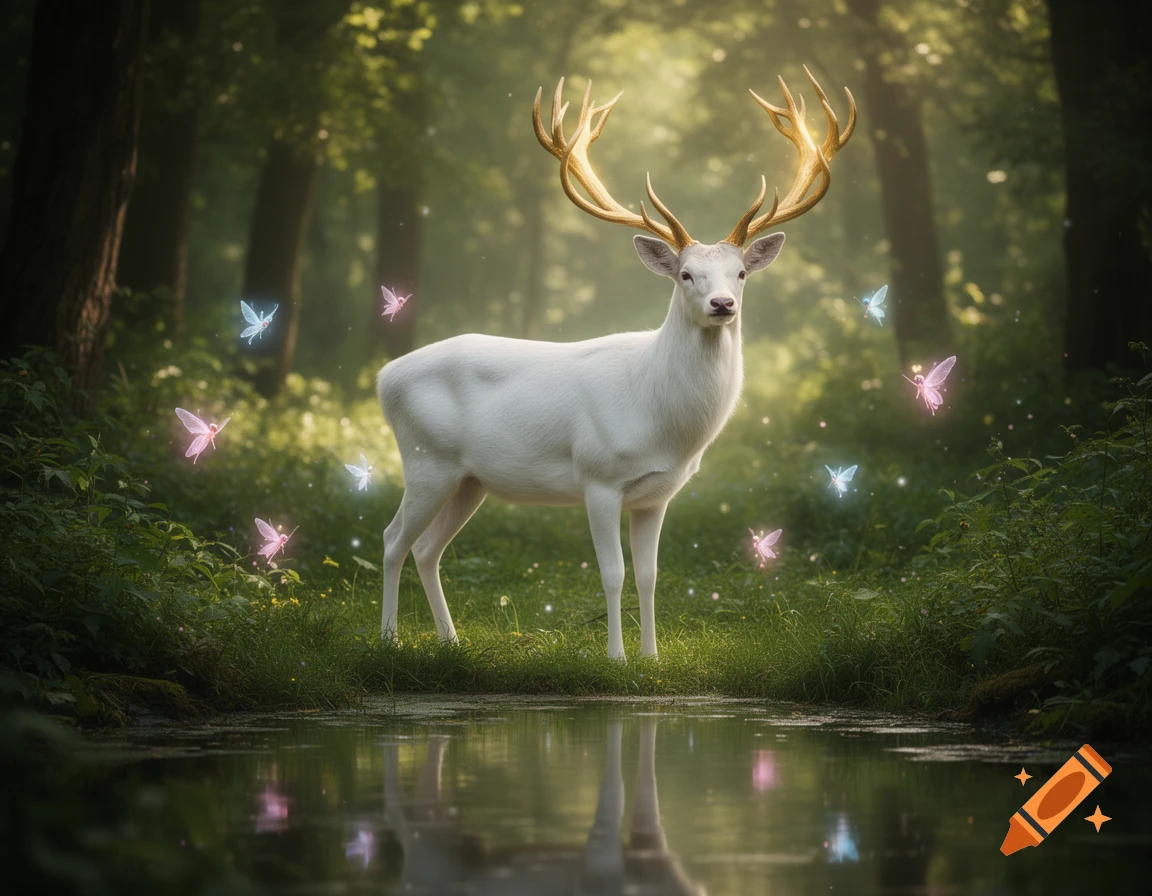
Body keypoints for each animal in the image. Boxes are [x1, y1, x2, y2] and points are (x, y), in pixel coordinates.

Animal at [376, 67, 855, 660]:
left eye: (741, 273)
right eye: (686, 274)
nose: (723, 304)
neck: (662, 421)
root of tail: (384, 377)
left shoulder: (657, 493)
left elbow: (649, 575)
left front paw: (651, 656)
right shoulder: (599, 477)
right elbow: (612, 574)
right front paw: (616, 656)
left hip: (469, 479)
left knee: (426, 548)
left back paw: (451, 640)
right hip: (426, 460)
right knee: (392, 539)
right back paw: (389, 638)